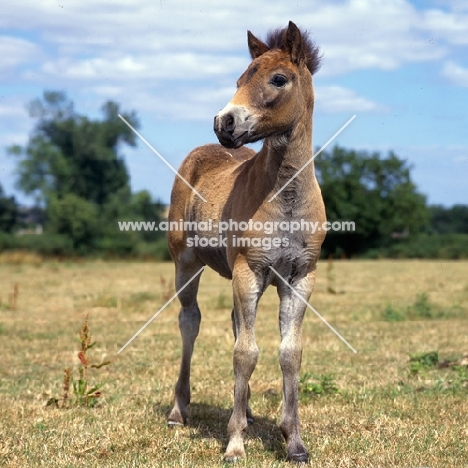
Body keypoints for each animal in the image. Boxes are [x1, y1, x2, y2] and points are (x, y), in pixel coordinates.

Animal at [167, 21, 326, 460]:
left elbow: (289, 352)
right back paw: (179, 410)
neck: (285, 198)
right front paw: (235, 443)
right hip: (186, 263)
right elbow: (246, 353)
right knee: (191, 321)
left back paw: (250, 410)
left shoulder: (300, 276)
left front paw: (295, 442)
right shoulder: (249, 270)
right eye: (239, 80)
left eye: (278, 79)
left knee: (237, 323)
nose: (224, 122)